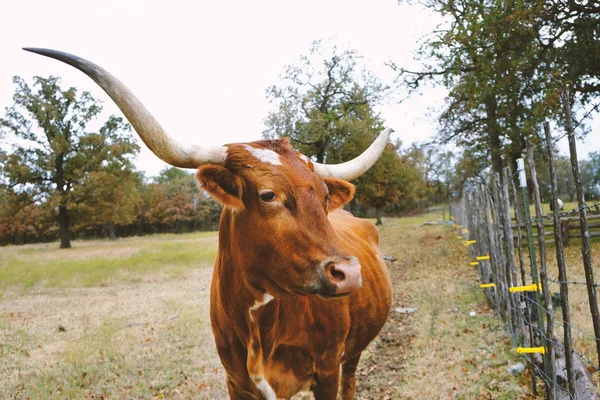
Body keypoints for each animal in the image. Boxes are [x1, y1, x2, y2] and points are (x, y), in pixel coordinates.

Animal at [25, 48, 396, 398]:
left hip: (350, 355)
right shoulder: (237, 381)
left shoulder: (327, 369)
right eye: (268, 195)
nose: (348, 272)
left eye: (323, 195)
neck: (259, 326)